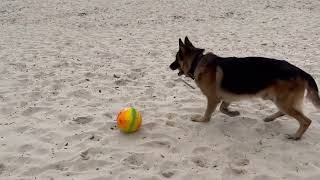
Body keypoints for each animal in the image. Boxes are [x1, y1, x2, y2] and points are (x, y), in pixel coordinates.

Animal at [170, 36, 320, 140]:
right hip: (278, 100)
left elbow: (207, 115)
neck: (197, 61)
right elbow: (223, 108)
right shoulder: (226, 97)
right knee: (285, 112)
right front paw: (233, 113)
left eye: (176, 58)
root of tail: (301, 71)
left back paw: (296, 136)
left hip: (283, 101)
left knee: (306, 121)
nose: (170, 66)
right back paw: (270, 118)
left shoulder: (213, 99)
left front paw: (201, 120)